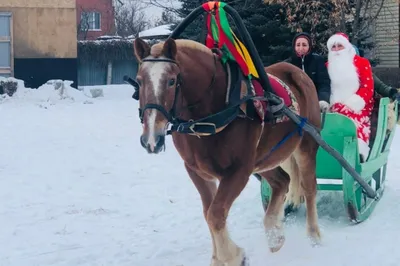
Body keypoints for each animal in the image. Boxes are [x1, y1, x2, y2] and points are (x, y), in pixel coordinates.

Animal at [134, 38, 322, 266]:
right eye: (139, 81)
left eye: (171, 81)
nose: (151, 139)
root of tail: (296, 71)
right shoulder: (196, 170)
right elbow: (208, 212)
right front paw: (219, 258)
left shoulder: (238, 170)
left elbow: (215, 214)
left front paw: (234, 257)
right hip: (264, 157)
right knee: (282, 182)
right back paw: (274, 235)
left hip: (306, 145)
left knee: (309, 187)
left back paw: (313, 236)